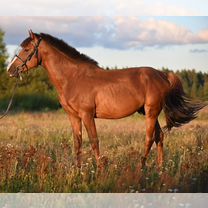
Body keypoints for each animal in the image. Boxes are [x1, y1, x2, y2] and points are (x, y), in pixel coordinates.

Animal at [6, 29, 205, 169]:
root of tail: (162, 75)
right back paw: (160, 169)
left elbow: (94, 142)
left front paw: (100, 171)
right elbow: (77, 143)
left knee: (149, 138)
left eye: (26, 49)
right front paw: (77, 172)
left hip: (151, 112)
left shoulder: (87, 115)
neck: (73, 77)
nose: (10, 70)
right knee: (159, 136)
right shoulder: (73, 116)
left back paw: (141, 168)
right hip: (150, 113)